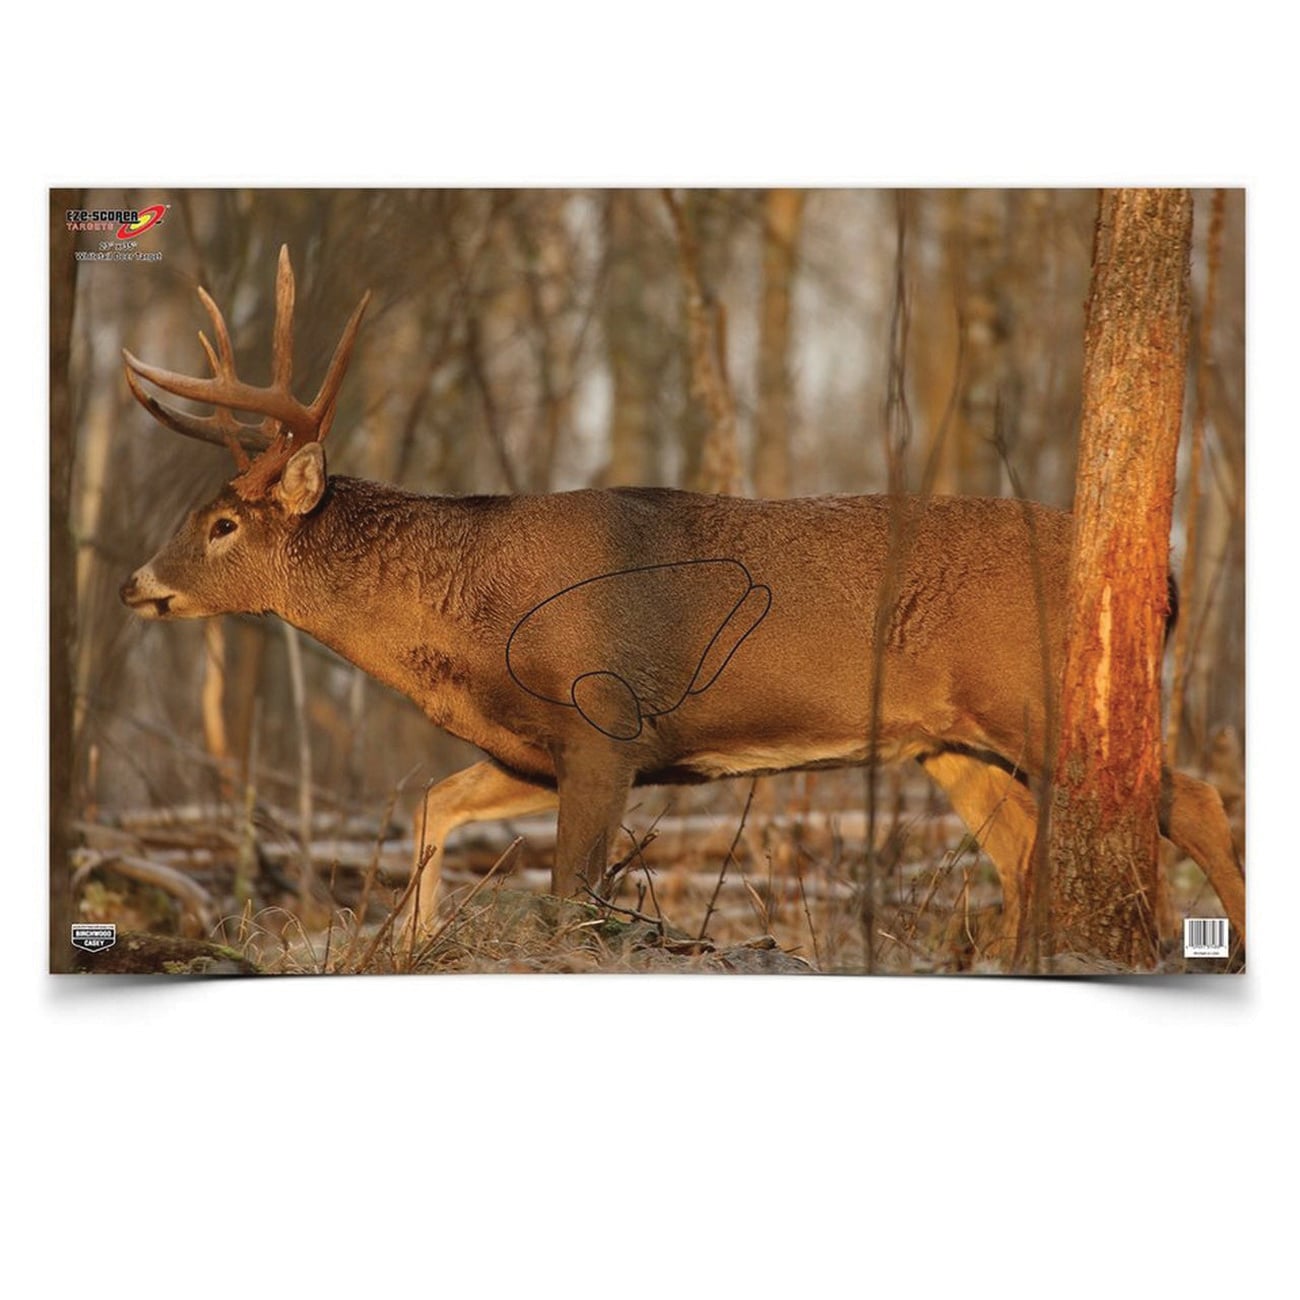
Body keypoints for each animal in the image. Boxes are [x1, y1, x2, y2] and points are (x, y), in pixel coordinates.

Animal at [118, 246, 1246, 964]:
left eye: (223, 523)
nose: (135, 583)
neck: (471, 620)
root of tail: (1163, 576)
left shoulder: (606, 723)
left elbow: (572, 899)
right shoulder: (537, 747)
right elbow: (434, 804)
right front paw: (414, 941)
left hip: (1038, 697)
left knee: (1192, 800)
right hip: (947, 740)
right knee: (1023, 849)